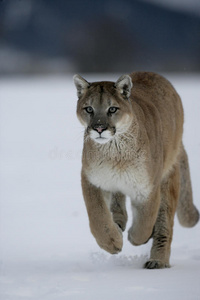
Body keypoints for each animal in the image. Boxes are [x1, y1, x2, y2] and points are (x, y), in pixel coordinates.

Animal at [74, 71, 200, 268]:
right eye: (89, 109)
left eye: (112, 109)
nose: (99, 128)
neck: (115, 154)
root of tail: (153, 74)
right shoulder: (92, 179)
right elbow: (98, 217)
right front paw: (112, 242)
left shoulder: (148, 188)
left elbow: (145, 221)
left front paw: (136, 237)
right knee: (117, 202)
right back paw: (118, 225)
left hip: (168, 178)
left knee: (165, 223)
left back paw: (157, 260)